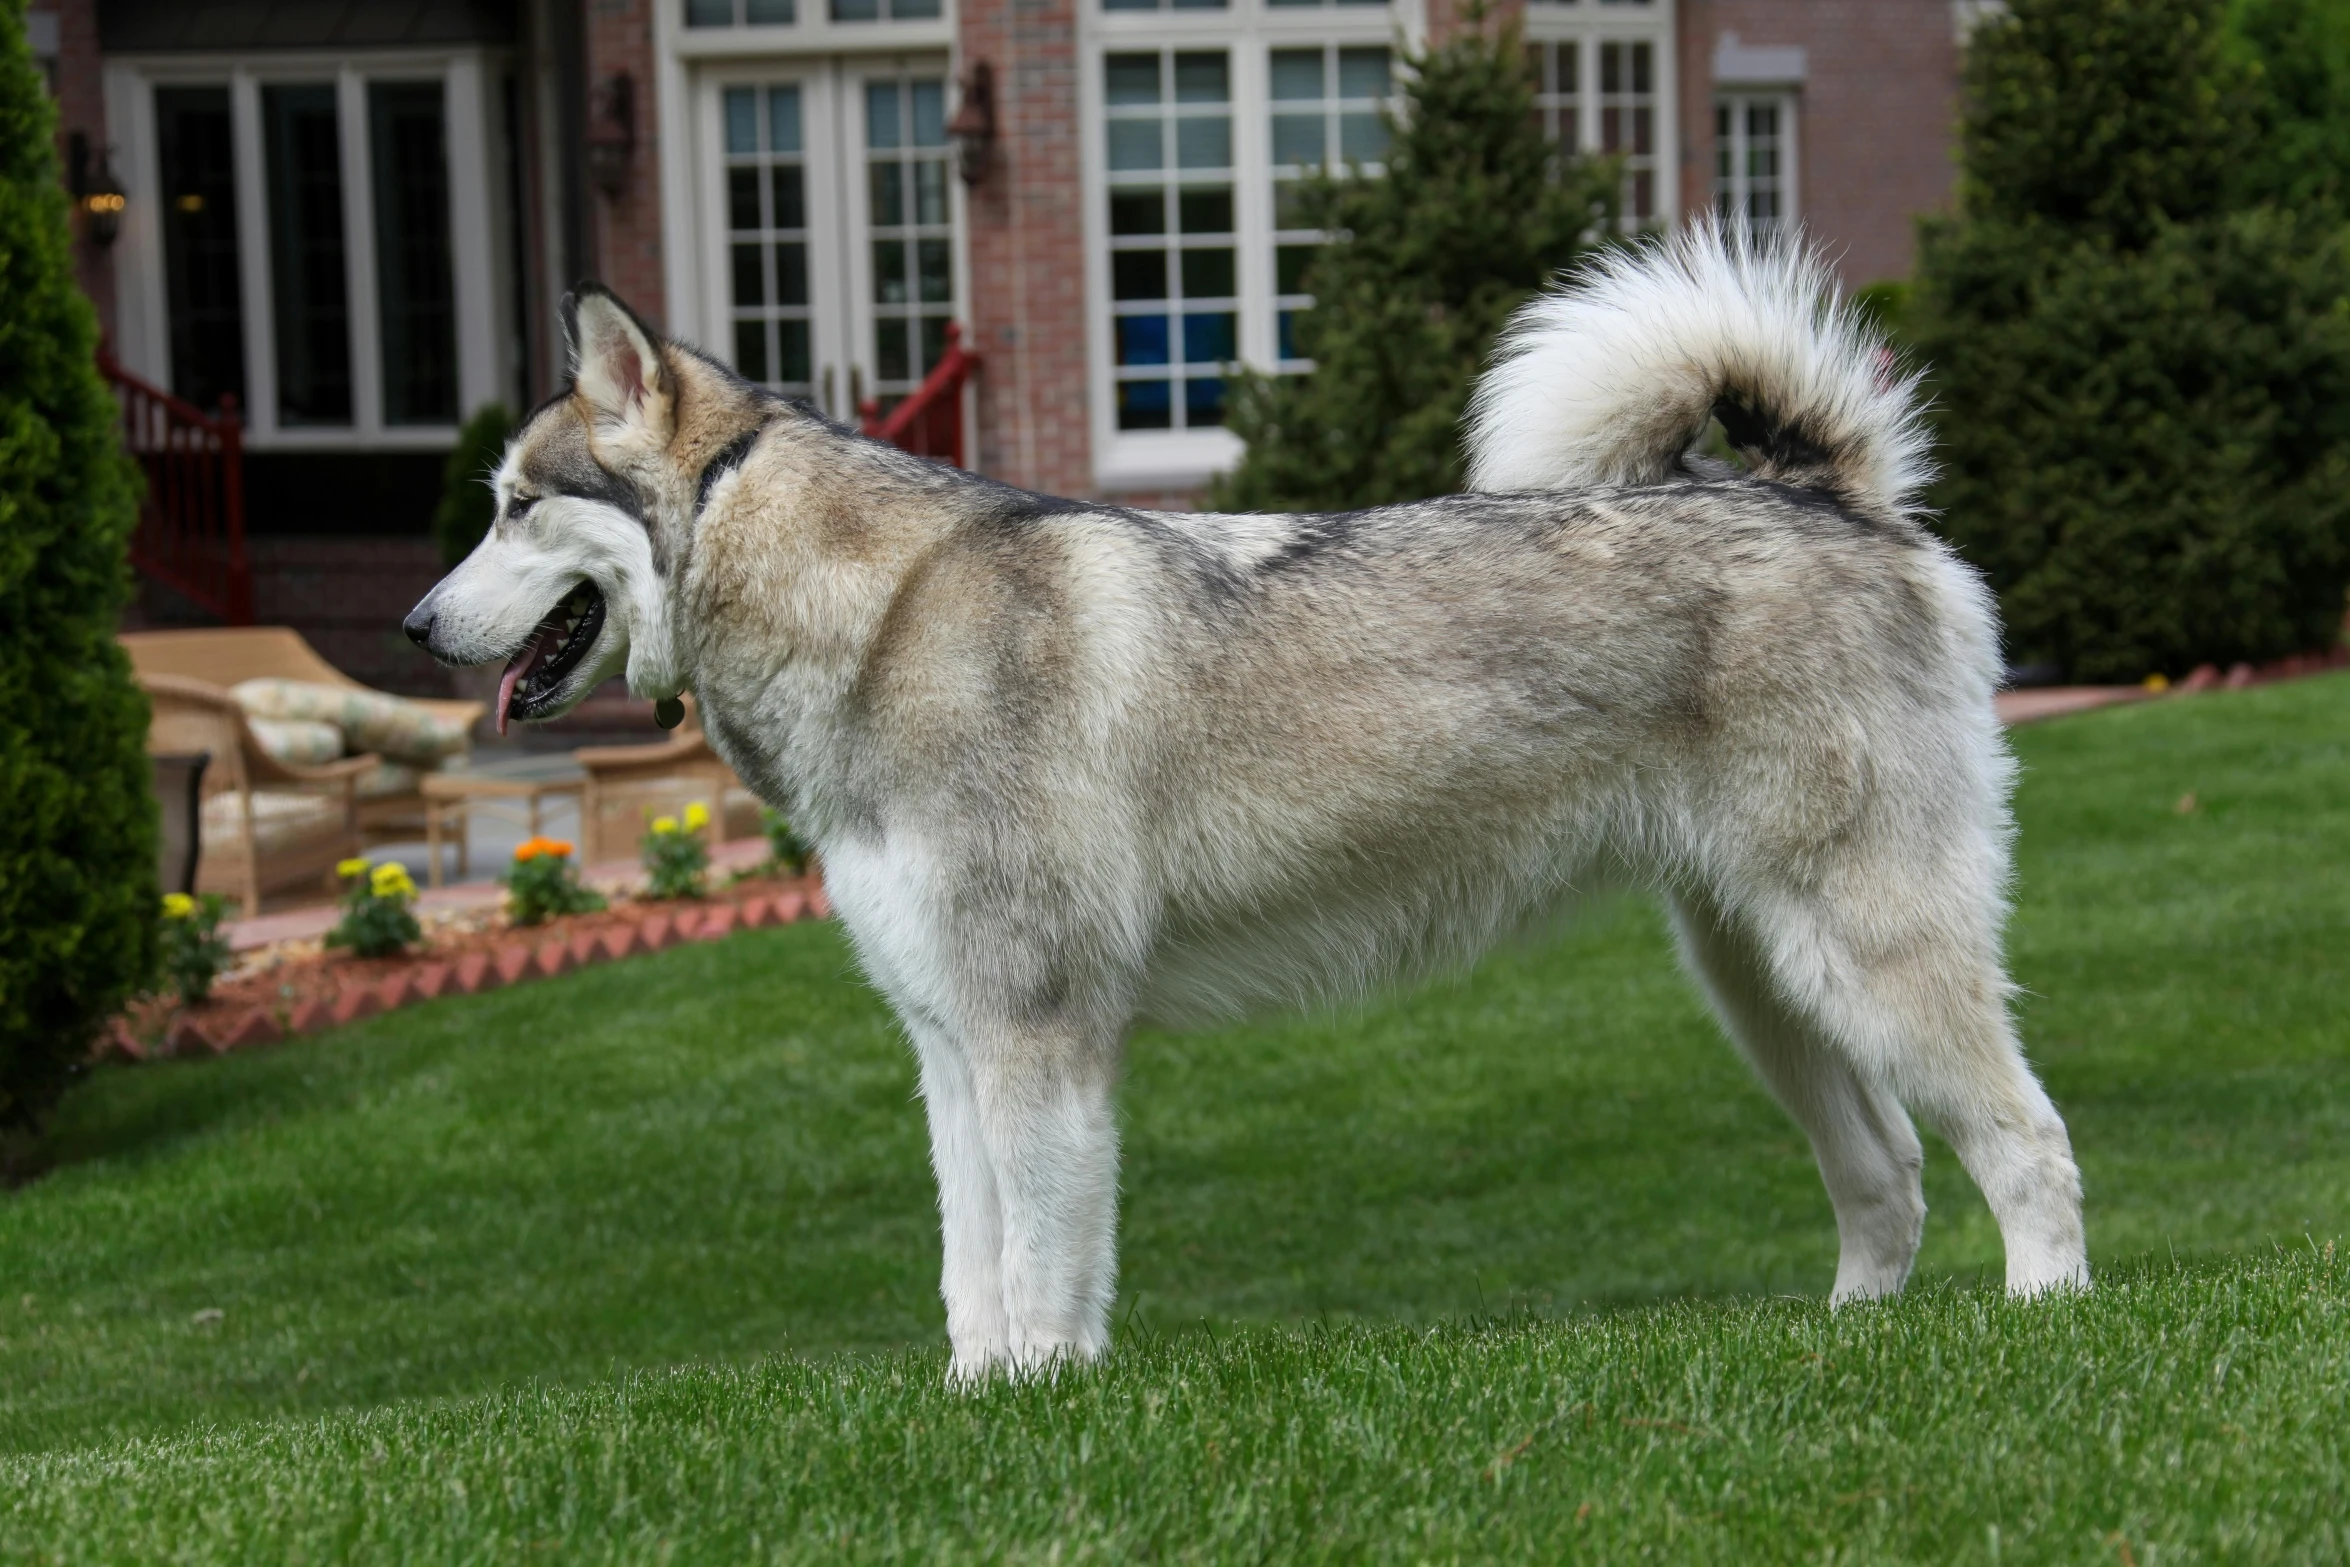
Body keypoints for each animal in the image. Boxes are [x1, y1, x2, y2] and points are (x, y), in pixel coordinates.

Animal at [408, 226, 2096, 1381]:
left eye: (513, 507)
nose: (417, 628)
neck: (877, 617)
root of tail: (1829, 492)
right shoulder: (950, 1046)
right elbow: (971, 1273)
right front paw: (975, 1405)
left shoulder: (1038, 1037)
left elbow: (1041, 1265)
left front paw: (1042, 1396)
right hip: (1761, 980)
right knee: (1886, 1174)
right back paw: (1843, 1345)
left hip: (1866, 953)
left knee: (2026, 1139)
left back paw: (2042, 1322)